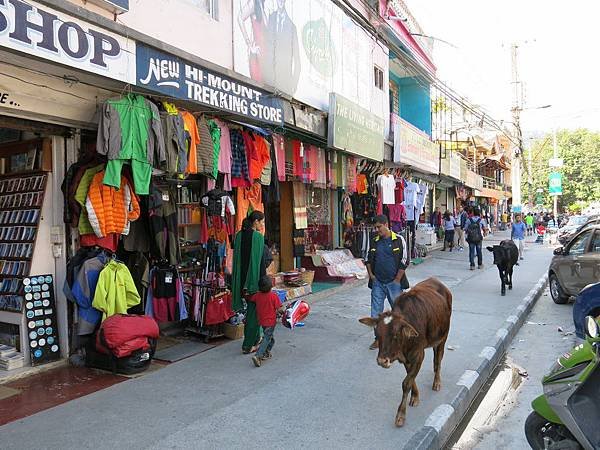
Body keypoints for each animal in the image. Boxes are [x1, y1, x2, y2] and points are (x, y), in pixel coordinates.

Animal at [358, 276, 452, 428]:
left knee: (438, 359)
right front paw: (415, 396)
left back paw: (437, 382)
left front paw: (400, 416)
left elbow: (406, 383)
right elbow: (410, 378)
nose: (382, 361)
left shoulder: (419, 355)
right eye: (377, 333)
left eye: (396, 335)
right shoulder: (405, 359)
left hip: (443, 337)